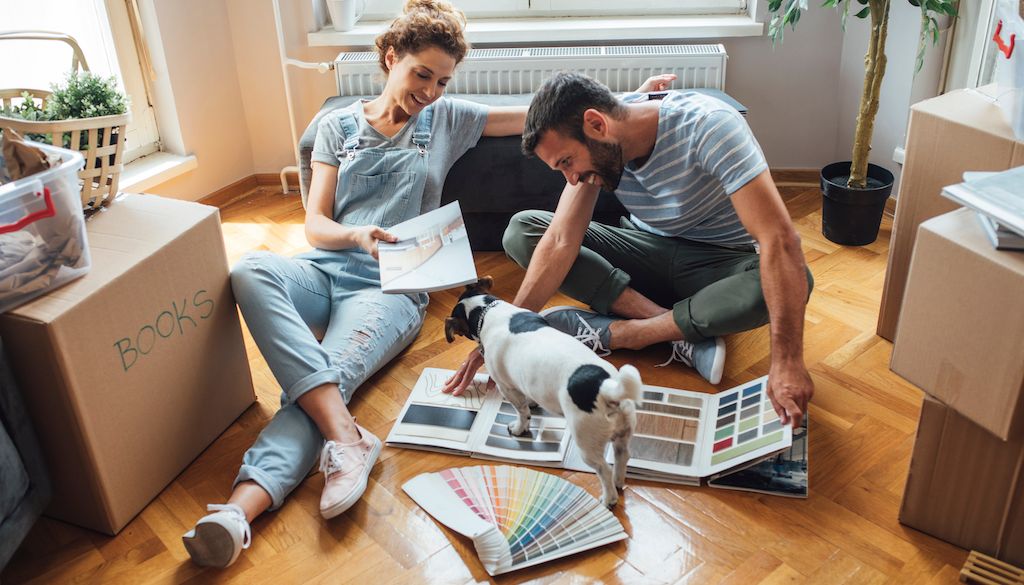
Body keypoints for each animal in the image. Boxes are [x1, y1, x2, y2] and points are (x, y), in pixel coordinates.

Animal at [442, 276, 638, 506]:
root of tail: (607, 388)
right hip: (623, 432)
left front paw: (519, 428)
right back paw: (618, 482)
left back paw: (608, 498)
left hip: (587, 442)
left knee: (603, 470)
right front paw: (533, 402)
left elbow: (522, 412)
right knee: (622, 456)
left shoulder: (506, 387)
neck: (487, 310)